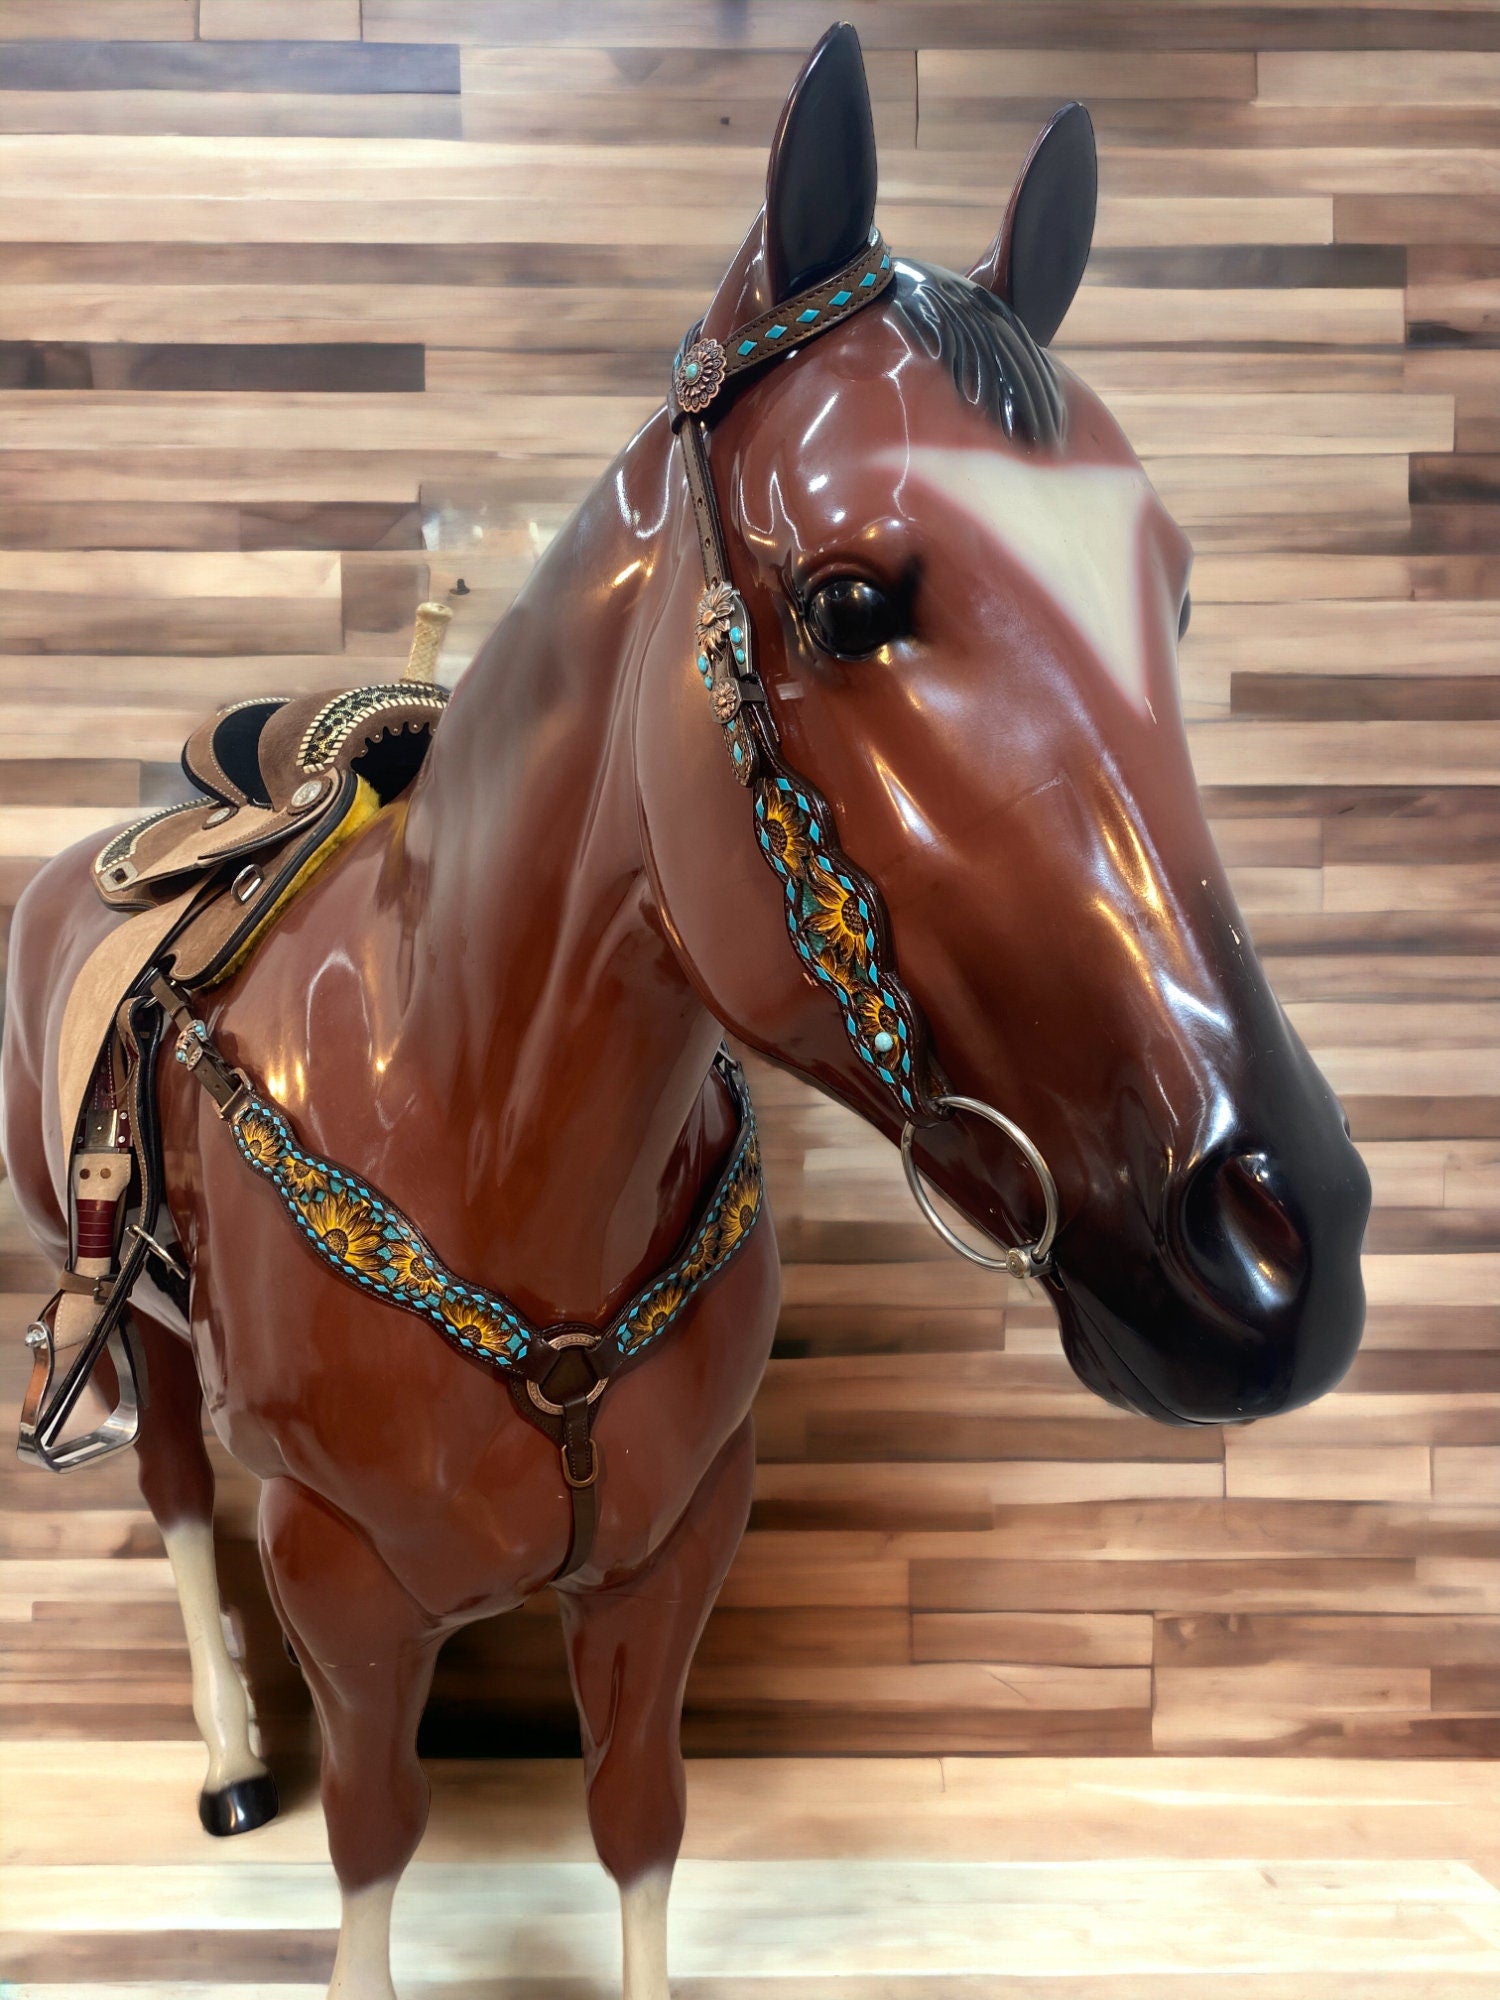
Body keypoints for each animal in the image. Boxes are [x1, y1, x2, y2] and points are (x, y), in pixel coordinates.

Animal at [1, 26, 1370, 2000]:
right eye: (853, 598)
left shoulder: (673, 1553)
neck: (472, 1108)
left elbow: (640, 1827)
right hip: (122, 1308)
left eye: (1173, 597)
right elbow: (375, 1844)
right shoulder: (344, 1581)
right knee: (178, 1503)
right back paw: (230, 1755)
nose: (1282, 1245)